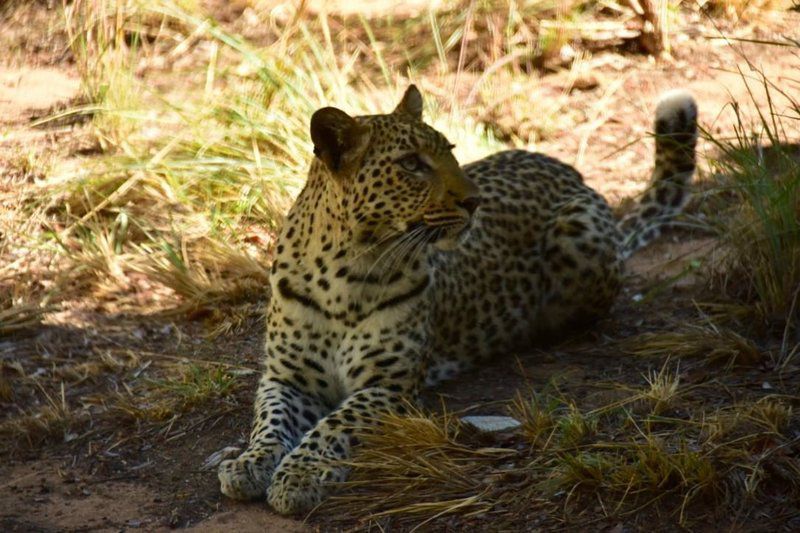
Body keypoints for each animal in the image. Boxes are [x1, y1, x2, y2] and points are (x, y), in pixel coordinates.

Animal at [216, 85, 696, 512]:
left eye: (448, 150)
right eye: (412, 164)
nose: (474, 201)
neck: (345, 268)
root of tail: (567, 170)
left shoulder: (388, 386)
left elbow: (335, 424)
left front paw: (301, 475)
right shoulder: (286, 377)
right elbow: (270, 421)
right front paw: (249, 463)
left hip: (579, 234)